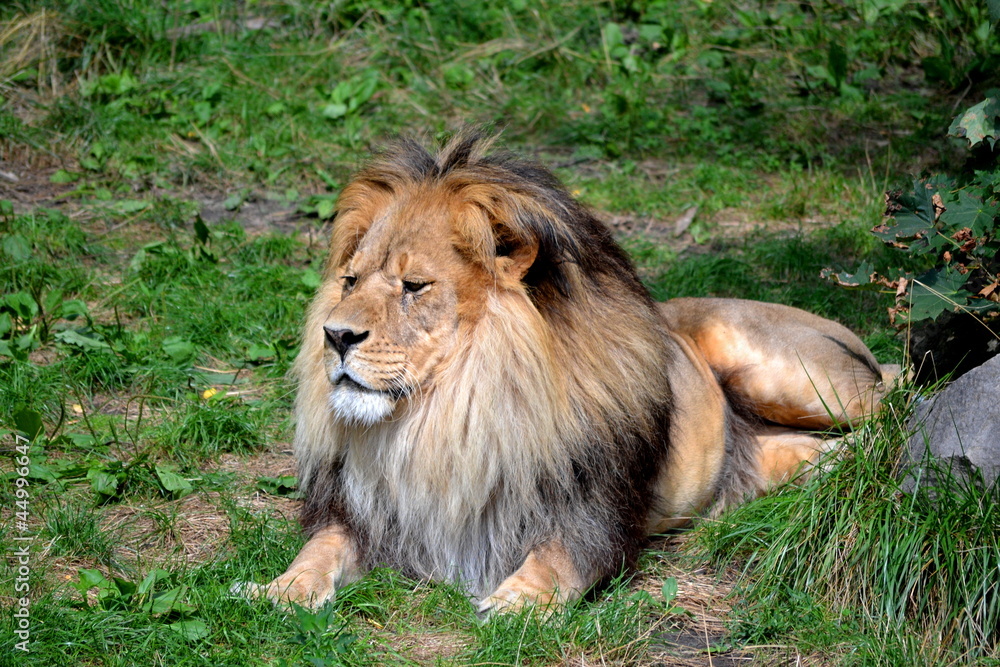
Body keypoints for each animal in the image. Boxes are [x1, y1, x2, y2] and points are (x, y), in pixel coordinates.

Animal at [250, 130, 894, 614]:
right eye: (350, 280)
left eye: (414, 286)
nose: (335, 336)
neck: (443, 418)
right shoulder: (361, 513)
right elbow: (320, 548)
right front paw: (280, 588)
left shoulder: (591, 511)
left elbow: (560, 558)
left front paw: (518, 600)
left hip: (784, 372)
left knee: (892, 399)